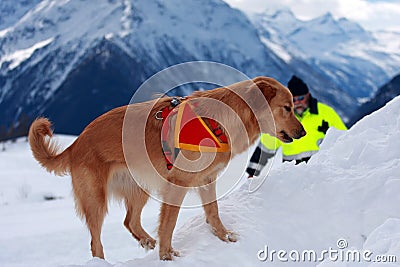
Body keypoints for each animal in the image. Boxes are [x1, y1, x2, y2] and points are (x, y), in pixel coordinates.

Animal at [28, 76, 304, 260]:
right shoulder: (177, 184)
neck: (221, 120)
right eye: (287, 108)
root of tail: (77, 143)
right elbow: (168, 224)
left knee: (130, 221)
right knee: (96, 244)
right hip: (95, 200)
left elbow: (213, 213)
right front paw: (166, 256)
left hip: (138, 189)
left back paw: (147, 241)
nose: (303, 133)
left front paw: (223, 237)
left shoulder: (207, 180)